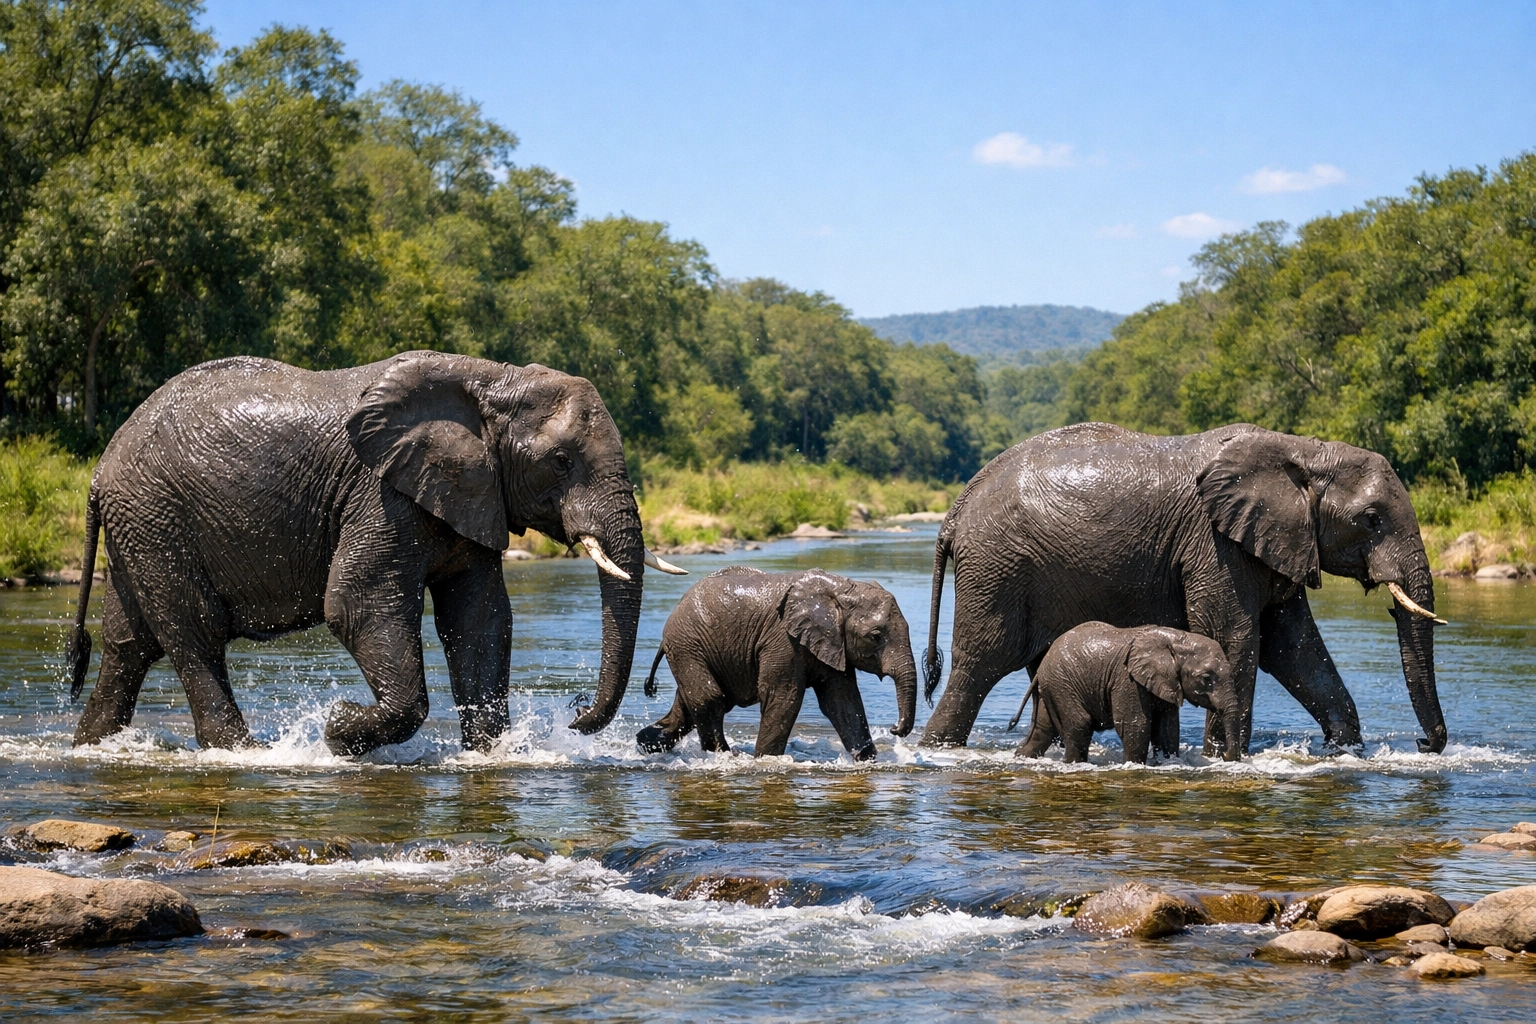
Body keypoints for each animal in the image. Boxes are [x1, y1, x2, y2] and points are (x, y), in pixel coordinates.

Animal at [65, 350, 686, 756]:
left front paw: (490, 753)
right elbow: (358, 603)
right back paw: (248, 751)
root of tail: (98, 470)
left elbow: (480, 616)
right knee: (193, 633)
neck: (489, 379)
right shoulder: (380, 492)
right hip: (156, 517)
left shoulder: (469, 493)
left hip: (141, 527)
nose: (576, 713)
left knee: (129, 643)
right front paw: (337, 727)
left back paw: (93, 745)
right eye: (560, 463)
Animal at [635, 567, 919, 760]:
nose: (894, 729)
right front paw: (764, 760)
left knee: (690, 704)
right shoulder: (783, 639)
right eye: (875, 636)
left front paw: (867, 760)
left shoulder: (833, 644)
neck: (840, 588)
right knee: (710, 698)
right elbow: (783, 698)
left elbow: (842, 701)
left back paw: (646, 744)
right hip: (686, 644)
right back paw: (724, 756)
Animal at [1011, 622, 1242, 763]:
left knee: (1043, 730)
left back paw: (1021, 756)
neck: (1176, 638)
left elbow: (1167, 727)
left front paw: (1165, 762)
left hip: (1054, 685)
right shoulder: (1127, 679)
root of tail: (1042, 666)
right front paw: (1134, 765)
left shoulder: (1165, 682)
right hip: (1063, 682)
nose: (1225, 755)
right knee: (1079, 725)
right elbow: (1135, 724)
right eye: (1207, 679)